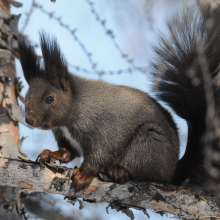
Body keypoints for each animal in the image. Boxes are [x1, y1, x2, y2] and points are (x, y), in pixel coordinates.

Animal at [17, 3, 220, 192]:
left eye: (49, 99)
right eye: (26, 95)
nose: (29, 120)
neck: (74, 110)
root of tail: (173, 171)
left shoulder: (103, 131)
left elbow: (99, 155)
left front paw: (83, 175)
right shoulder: (65, 136)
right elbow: (68, 152)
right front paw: (51, 154)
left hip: (148, 144)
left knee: (143, 171)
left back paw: (119, 171)